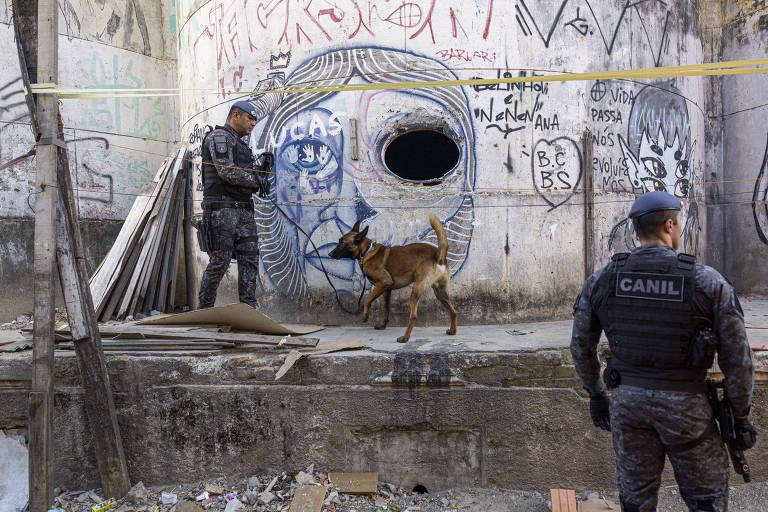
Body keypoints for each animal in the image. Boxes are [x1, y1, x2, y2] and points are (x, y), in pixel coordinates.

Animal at [328, 214, 456, 342]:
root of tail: (438, 255)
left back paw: (405, 337)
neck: (366, 252)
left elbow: (367, 299)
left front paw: (365, 315)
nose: (329, 254)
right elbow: (385, 309)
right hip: (440, 293)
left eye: (343, 243)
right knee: (453, 311)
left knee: (413, 316)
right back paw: (452, 331)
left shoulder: (383, 282)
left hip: (416, 291)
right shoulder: (386, 289)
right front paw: (382, 325)